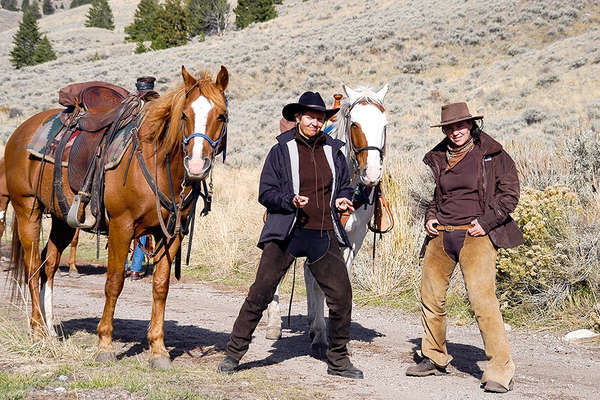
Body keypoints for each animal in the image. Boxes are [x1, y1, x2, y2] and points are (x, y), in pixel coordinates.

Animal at [5, 65, 229, 368]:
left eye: (221, 115)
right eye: (184, 115)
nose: (195, 165)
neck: (156, 161)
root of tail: (21, 130)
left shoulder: (173, 234)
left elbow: (161, 287)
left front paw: (158, 350)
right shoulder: (122, 227)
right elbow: (114, 283)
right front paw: (105, 345)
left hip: (64, 219)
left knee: (48, 265)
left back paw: (50, 330)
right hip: (27, 209)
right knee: (32, 267)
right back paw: (38, 329)